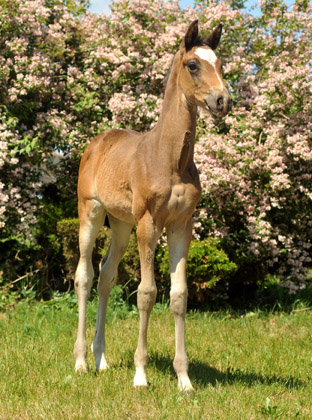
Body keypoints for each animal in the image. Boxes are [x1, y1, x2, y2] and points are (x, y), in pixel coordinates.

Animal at [73, 19, 232, 392]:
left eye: (221, 64)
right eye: (193, 64)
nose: (222, 100)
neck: (170, 157)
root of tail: (97, 142)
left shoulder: (181, 225)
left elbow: (179, 295)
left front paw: (184, 379)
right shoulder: (149, 223)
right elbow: (146, 293)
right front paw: (141, 374)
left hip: (120, 224)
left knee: (106, 277)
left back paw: (101, 360)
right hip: (91, 214)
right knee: (84, 276)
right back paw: (81, 361)